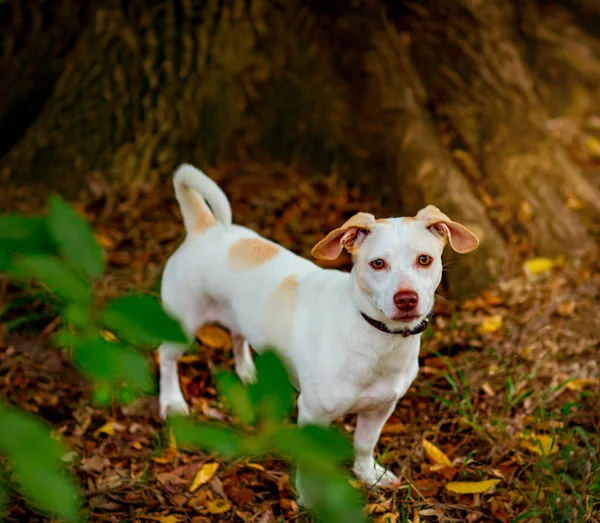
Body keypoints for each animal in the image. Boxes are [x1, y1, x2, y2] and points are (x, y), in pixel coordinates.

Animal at [158, 166, 478, 498]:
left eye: (424, 259)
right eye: (378, 263)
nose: (406, 299)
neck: (376, 340)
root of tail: (205, 228)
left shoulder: (381, 408)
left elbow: (364, 444)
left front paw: (367, 474)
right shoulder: (312, 412)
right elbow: (310, 457)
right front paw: (309, 493)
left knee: (237, 334)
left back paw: (247, 370)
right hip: (182, 324)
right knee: (166, 359)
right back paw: (172, 402)